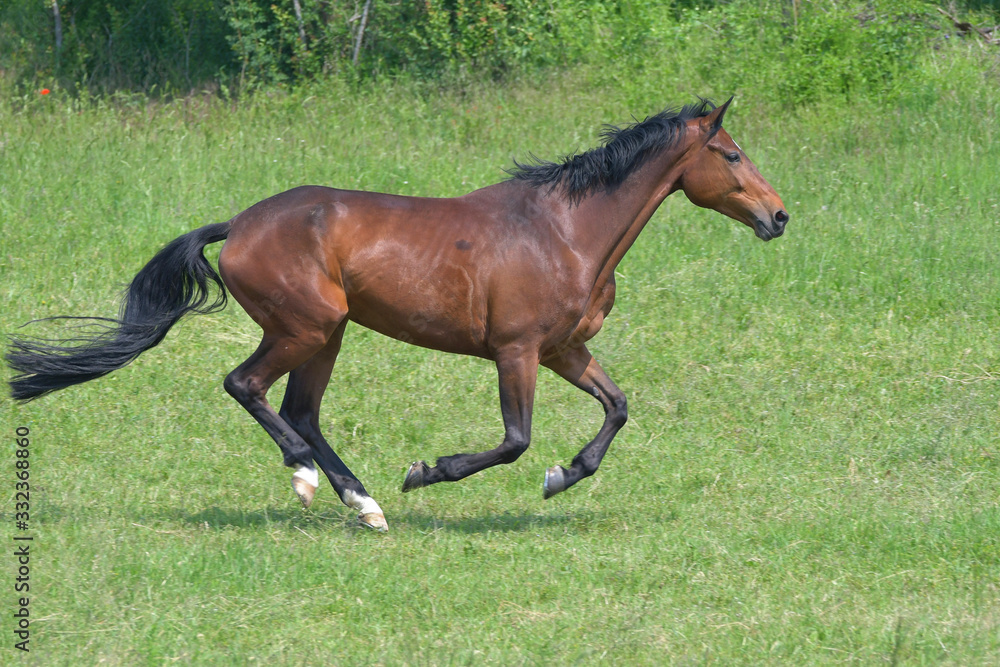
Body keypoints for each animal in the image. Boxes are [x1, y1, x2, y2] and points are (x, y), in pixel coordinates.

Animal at [7, 97, 787, 532]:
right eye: (730, 153)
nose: (778, 216)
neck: (565, 231)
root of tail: (240, 224)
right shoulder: (517, 351)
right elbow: (515, 439)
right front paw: (425, 471)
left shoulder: (564, 350)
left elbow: (618, 408)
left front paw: (565, 475)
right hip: (305, 326)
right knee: (248, 388)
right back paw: (312, 481)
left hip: (328, 334)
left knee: (302, 410)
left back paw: (364, 505)